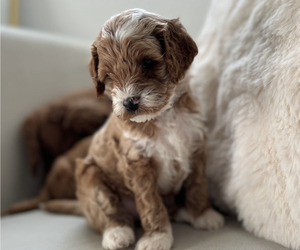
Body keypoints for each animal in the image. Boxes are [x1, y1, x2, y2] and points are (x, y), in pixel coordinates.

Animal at [76, 8, 224, 249]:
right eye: (108, 76)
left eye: (147, 62)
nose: (129, 103)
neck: (162, 115)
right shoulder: (137, 162)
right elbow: (151, 204)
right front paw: (157, 237)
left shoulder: (196, 145)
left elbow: (198, 184)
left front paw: (202, 214)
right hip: (90, 177)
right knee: (109, 212)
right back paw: (117, 233)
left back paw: (183, 212)